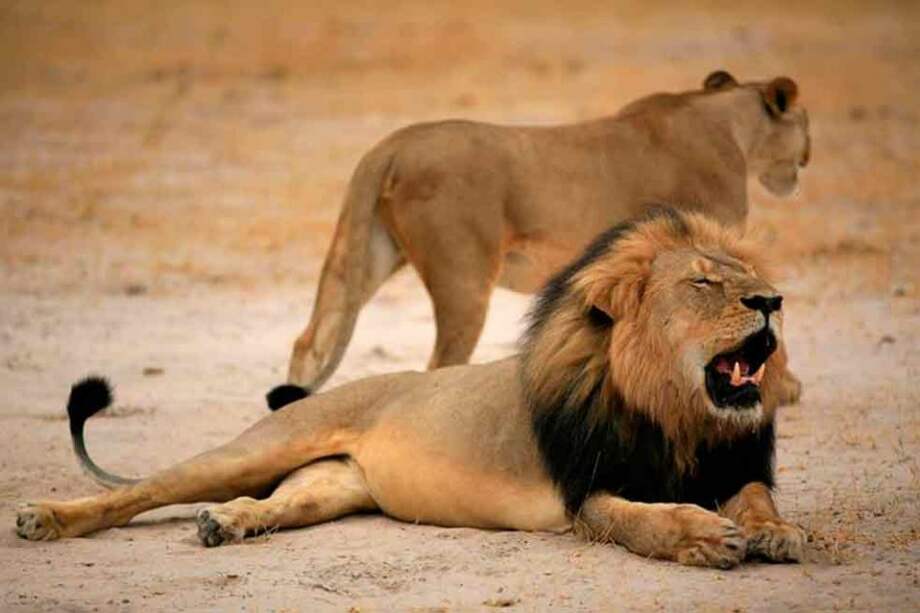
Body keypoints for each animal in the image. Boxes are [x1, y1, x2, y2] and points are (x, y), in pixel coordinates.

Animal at [16, 209, 805, 569]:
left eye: (747, 276)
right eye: (704, 283)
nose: (773, 300)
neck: (677, 414)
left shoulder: (732, 464)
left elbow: (757, 498)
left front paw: (776, 532)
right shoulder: (587, 492)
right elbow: (646, 519)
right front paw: (703, 535)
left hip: (330, 486)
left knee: (274, 502)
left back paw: (226, 523)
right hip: (258, 447)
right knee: (141, 490)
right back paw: (46, 518)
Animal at [274, 70, 810, 408]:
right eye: (804, 122)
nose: (806, 159)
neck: (729, 123)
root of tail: (391, 145)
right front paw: (782, 387)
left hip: (368, 253)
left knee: (311, 340)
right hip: (464, 278)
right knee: (439, 364)